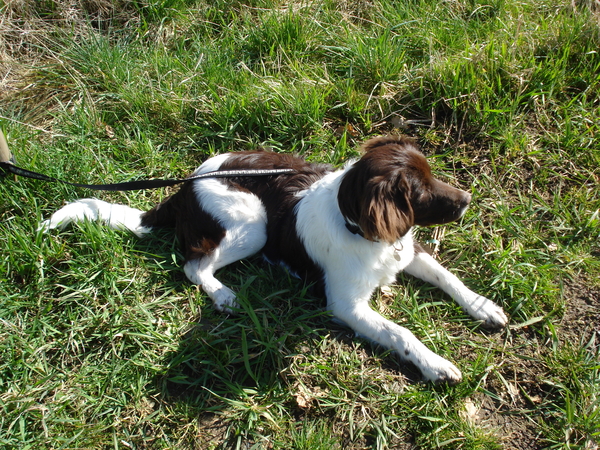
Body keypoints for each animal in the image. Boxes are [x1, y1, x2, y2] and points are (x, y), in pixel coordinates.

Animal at [42, 136, 508, 384]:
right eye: (421, 191)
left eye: (431, 175)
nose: (467, 199)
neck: (359, 228)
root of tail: (183, 188)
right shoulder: (345, 306)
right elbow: (400, 333)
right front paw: (435, 364)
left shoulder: (407, 250)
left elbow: (449, 279)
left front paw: (483, 306)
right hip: (254, 223)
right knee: (194, 265)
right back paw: (223, 295)